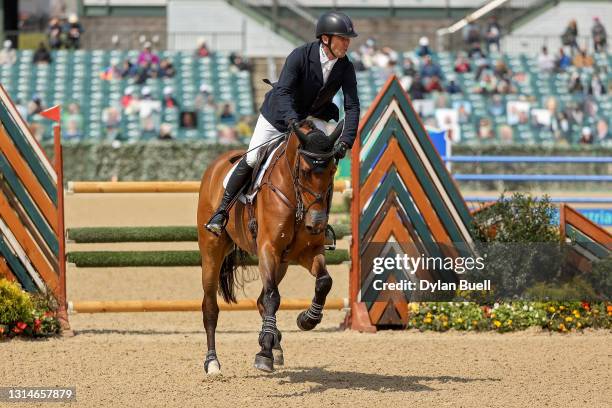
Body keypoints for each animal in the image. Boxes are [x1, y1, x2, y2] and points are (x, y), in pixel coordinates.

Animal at [197, 119, 344, 374]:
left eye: (333, 171)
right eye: (305, 172)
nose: (316, 223)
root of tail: (215, 165)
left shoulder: (307, 252)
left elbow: (324, 281)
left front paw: (307, 319)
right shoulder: (268, 249)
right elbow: (272, 298)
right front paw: (263, 354)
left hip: (282, 263)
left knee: (260, 300)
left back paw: (275, 343)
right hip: (212, 252)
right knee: (211, 307)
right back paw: (213, 362)